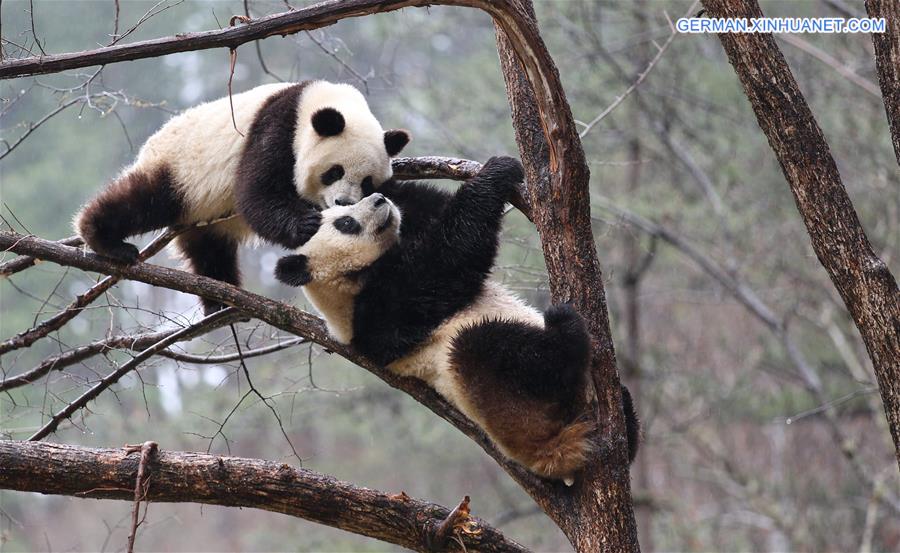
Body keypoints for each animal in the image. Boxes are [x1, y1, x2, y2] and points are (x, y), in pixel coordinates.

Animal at [74, 82, 412, 314]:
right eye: (334, 172)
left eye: (367, 182)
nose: (343, 202)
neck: (324, 100)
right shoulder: (277, 126)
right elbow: (257, 190)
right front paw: (306, 225)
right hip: (180, 171)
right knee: (142, 201)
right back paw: (105, 239)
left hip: (206, 215)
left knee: (210, 249)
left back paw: (221, 301)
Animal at [274, 156, 640, 484]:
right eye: (345, 224)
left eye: (348, 209)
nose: (378, 201)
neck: (346, 286)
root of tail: (552, 456)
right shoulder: (380, 314)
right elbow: (448, 259)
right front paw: (498, 170)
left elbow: (430, 209)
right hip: (507, 403)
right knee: (488, 347)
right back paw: (565, 329)